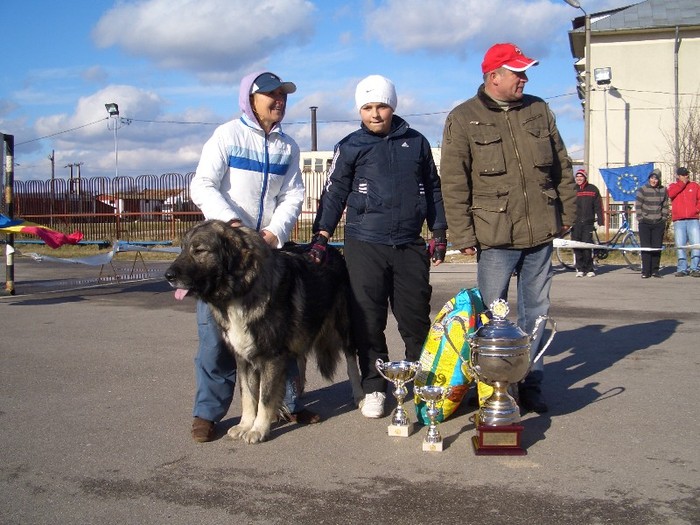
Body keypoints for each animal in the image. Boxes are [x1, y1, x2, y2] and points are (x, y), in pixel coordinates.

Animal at [164, 219, 356, 444]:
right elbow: (248, 395)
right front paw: (245, 425)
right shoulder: (243, 357)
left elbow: (265, 397)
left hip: (343, 328)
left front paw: (258, 429)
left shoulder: (272, 356)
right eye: (183, 249)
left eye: (199, 250)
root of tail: (333, 251)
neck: (242, 290)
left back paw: (360, 397)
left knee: (352, 362)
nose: (168, 275)